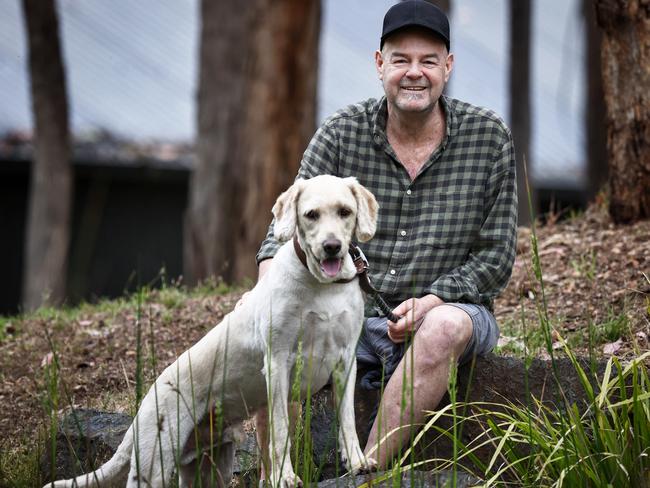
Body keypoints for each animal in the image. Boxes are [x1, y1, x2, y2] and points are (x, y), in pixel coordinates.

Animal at [45, 176, 378, 488]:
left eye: (344, 211)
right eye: (311, 214)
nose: (332, 246)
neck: (322, 286)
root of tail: (143, 406)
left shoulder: (346, 362)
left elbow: (348, 420)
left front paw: (357, 462)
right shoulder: (278, 364)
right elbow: (281, 431)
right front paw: (284, 476)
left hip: (210, 468)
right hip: (153, 468)